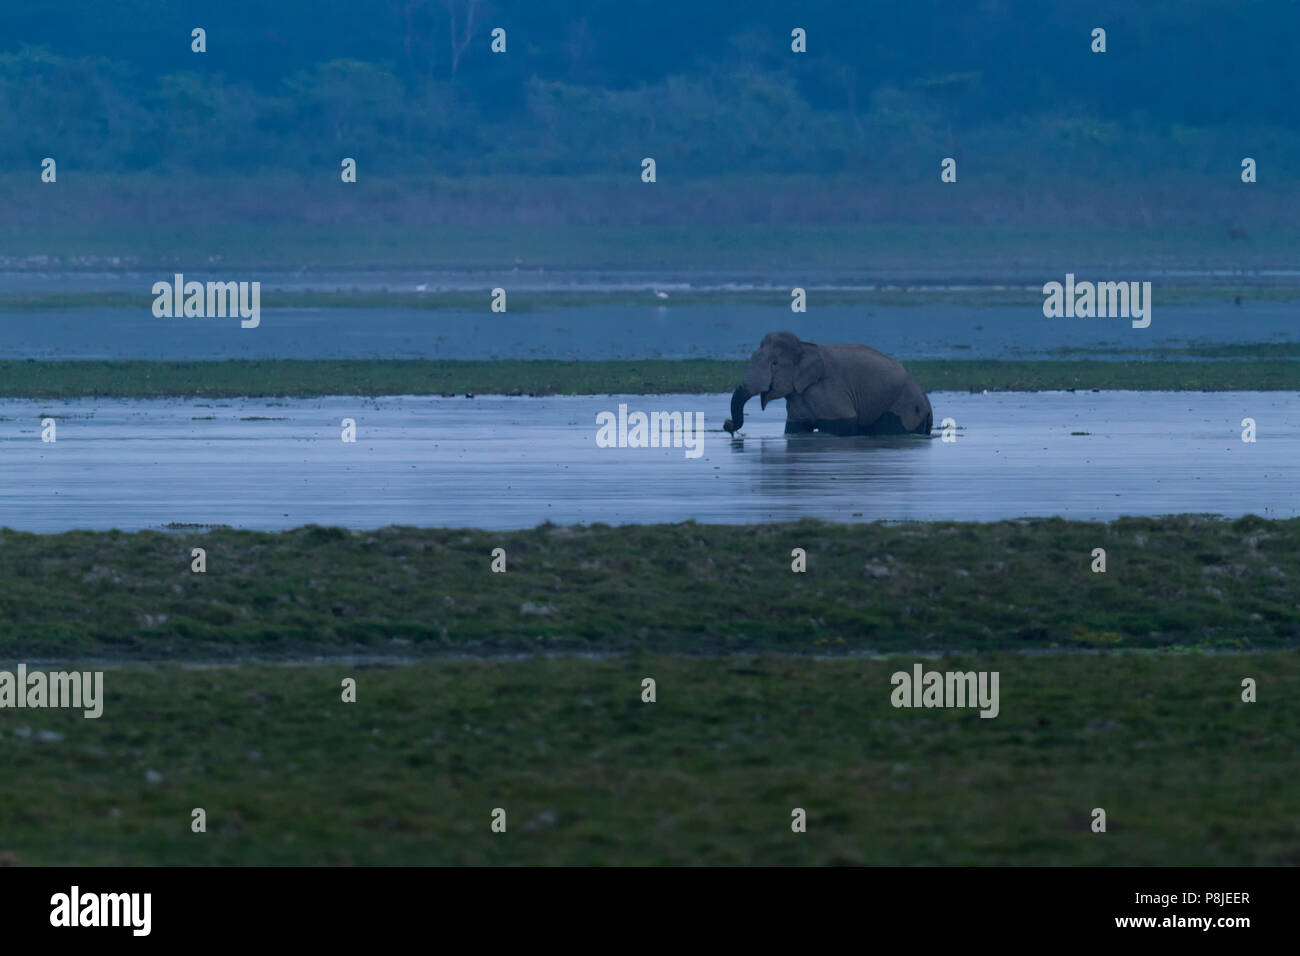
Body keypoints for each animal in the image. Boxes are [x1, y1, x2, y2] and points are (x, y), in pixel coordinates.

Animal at [728, 332, 930, 437]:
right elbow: (795, 429)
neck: (805, 347)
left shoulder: (828, 391)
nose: (727, 424)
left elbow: (843, 424)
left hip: (903, 408)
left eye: (774, 363)